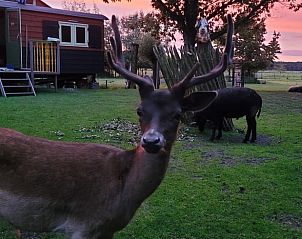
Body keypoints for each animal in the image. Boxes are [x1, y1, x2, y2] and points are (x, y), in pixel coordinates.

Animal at [0, 15, 234, 239]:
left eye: (177, 114)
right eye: (139, 110)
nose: (151, 141)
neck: (122, 197)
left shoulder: (107, 230)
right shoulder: (84, 226)